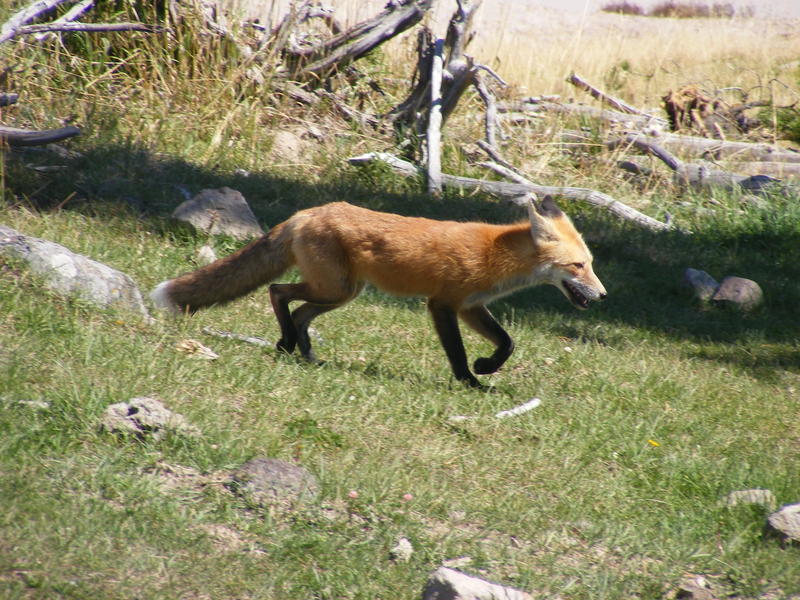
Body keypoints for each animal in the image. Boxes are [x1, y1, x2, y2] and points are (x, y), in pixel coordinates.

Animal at [152, 195, 608, 386]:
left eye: (590, 264)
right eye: (577, 266)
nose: (603, 296)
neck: (494, 255)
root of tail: (306, 213)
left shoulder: (471, 306)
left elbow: (507, 343)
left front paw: (487, 367)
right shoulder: (442, 304)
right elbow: (458, 353)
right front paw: (470, 381)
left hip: (341, 293)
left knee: (298, 311)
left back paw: (303, 353)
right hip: (334, 288)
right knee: (279, 292)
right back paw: (285, 344)